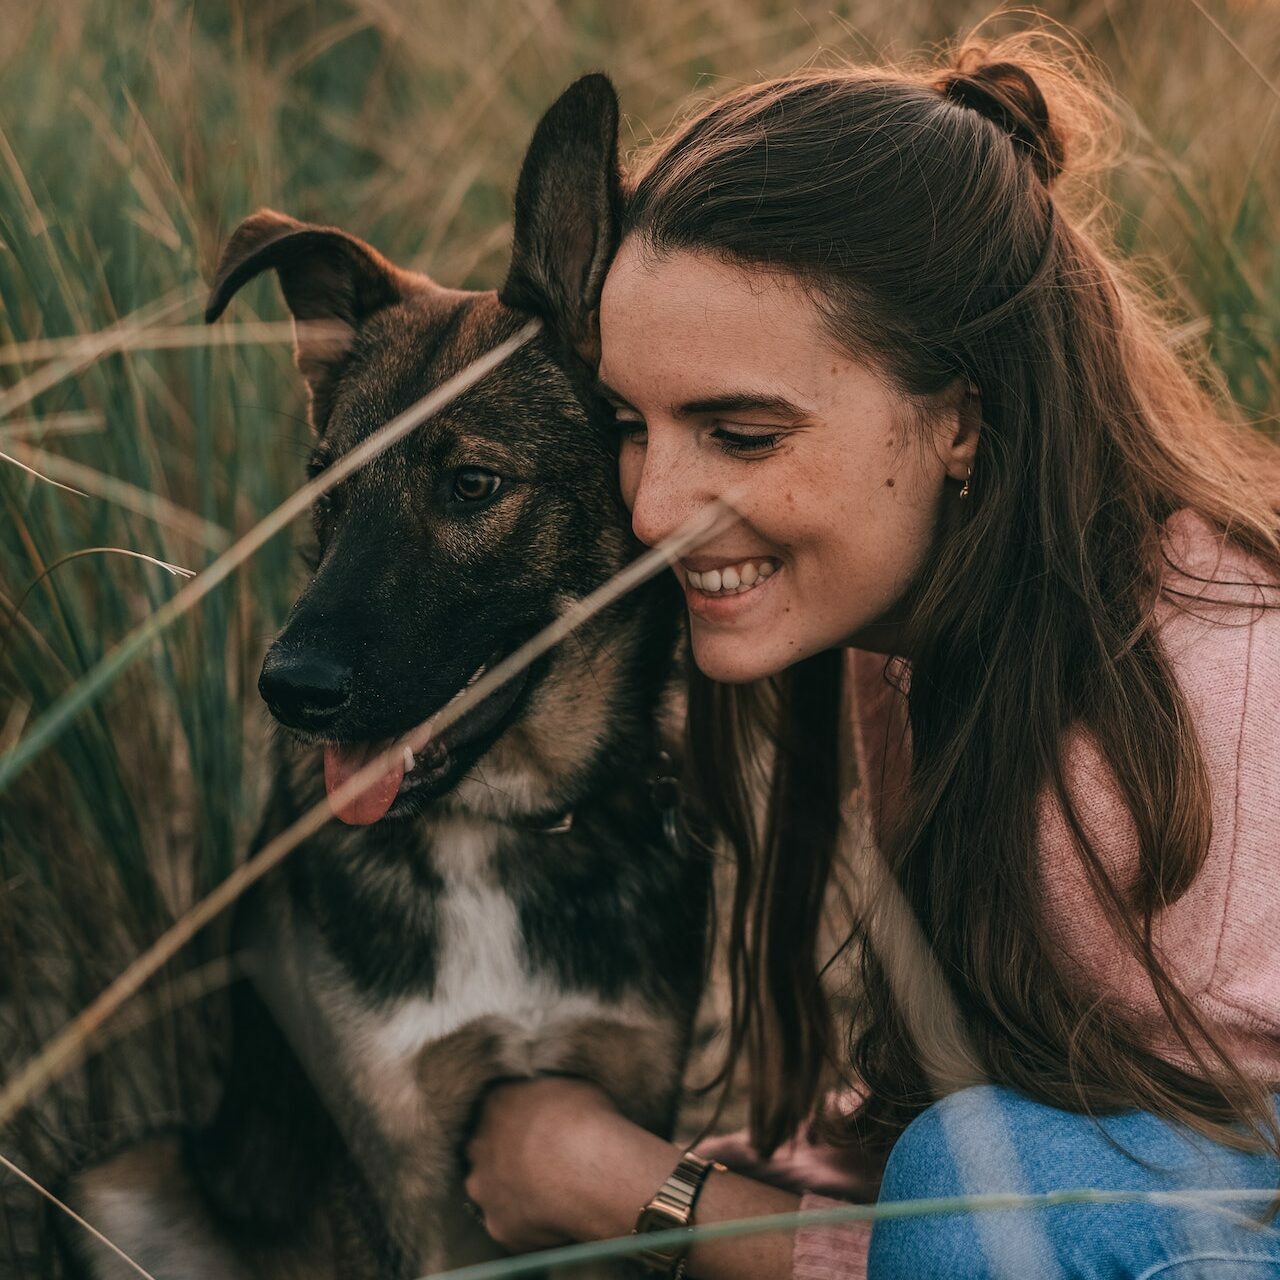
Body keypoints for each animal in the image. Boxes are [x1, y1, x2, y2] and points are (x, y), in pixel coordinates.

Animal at [62, 74, 711, 1274]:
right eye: (325, 482)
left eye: (472, 483)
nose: (291, 691)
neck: (501, 830)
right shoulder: (399, 1167)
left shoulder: (620, 1108)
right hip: (119, 1180)